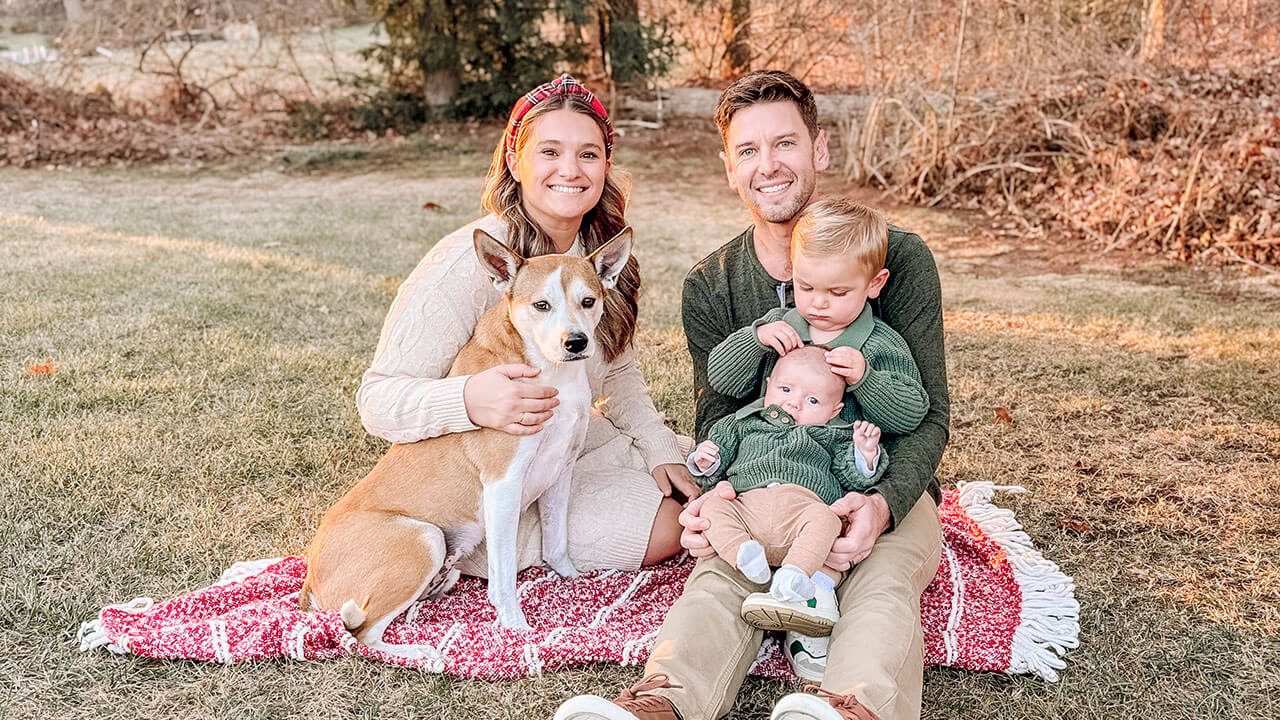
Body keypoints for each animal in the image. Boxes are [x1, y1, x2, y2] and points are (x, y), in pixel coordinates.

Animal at [298, 226, 634, 653]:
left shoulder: (561, 471)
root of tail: (310, 579)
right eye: (542, 305)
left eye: (588, 301)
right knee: (359, 635)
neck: (551, 372)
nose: (575, 342)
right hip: (424, 538)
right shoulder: (503, 484)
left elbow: (557, 542)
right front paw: (515, 626)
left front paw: (572, 579)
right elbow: (504, 575)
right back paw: (417, 651)